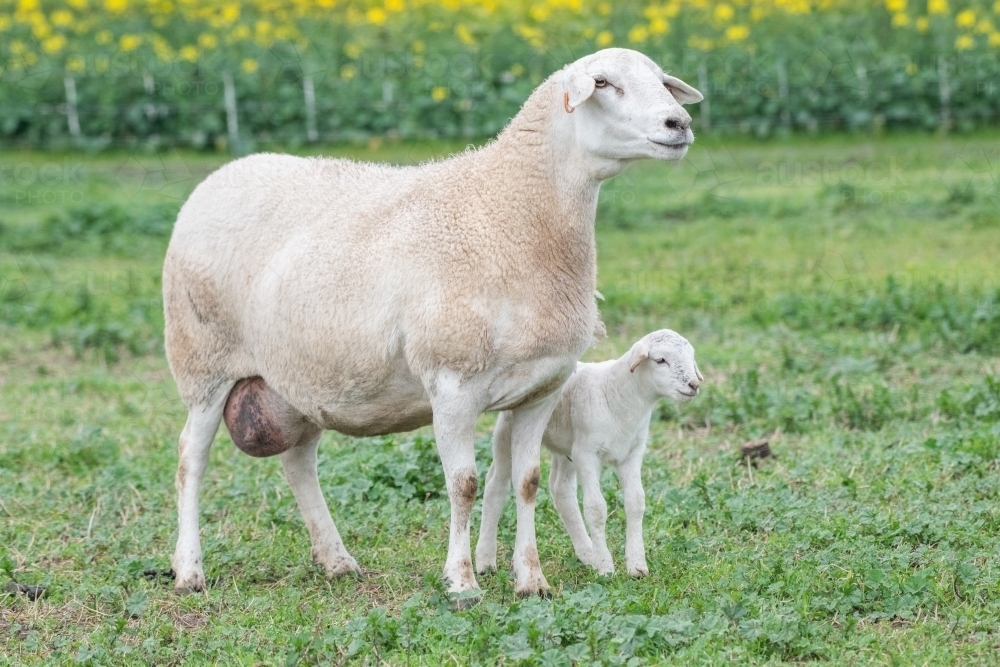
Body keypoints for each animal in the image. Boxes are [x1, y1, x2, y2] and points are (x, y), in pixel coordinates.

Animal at [478, 330, 704, 580]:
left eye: (691, 357)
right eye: (660, 360)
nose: (693, 384)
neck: (618, 393)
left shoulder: (632, 452)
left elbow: (636, 502)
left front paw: (636, 565)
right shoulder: (587, 453)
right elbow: (596, 509)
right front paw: (605, 567)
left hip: (565, 448)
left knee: (561, 489)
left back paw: (587, 552)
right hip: (509, 431)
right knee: (496, 484)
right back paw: (485, 561)